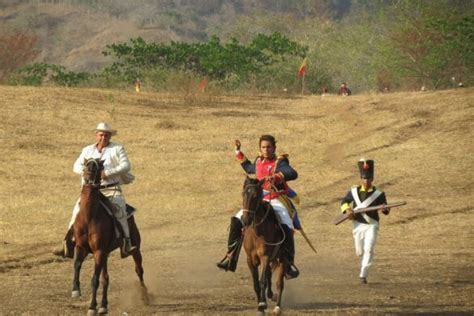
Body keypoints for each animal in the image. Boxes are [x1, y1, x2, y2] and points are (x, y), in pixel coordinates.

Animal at [71, 159, 146, 314]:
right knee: (106, 278)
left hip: (135, 249)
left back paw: (145, 297)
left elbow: (94, 280)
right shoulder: (82, 247)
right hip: (105, 255)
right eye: (85, 165)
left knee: (139, 270)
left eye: (99, 167)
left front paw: (92, 307)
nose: (88, 177)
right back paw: (103, 306)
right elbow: (77, 265)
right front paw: (76, 290)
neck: (89, 217)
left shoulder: (99, 251)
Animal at [241, 177, 286, 314]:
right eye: (243, 194)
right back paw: (270, 296)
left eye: (256, 196)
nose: (246, 220)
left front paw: (262, 304)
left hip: (282, 259)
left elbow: (262, 281)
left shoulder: (265, 256)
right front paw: (260, 304)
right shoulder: (250, 259)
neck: (257, 232)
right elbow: (256, 282)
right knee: (269, 276)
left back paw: (277, 307)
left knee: (279, 283)